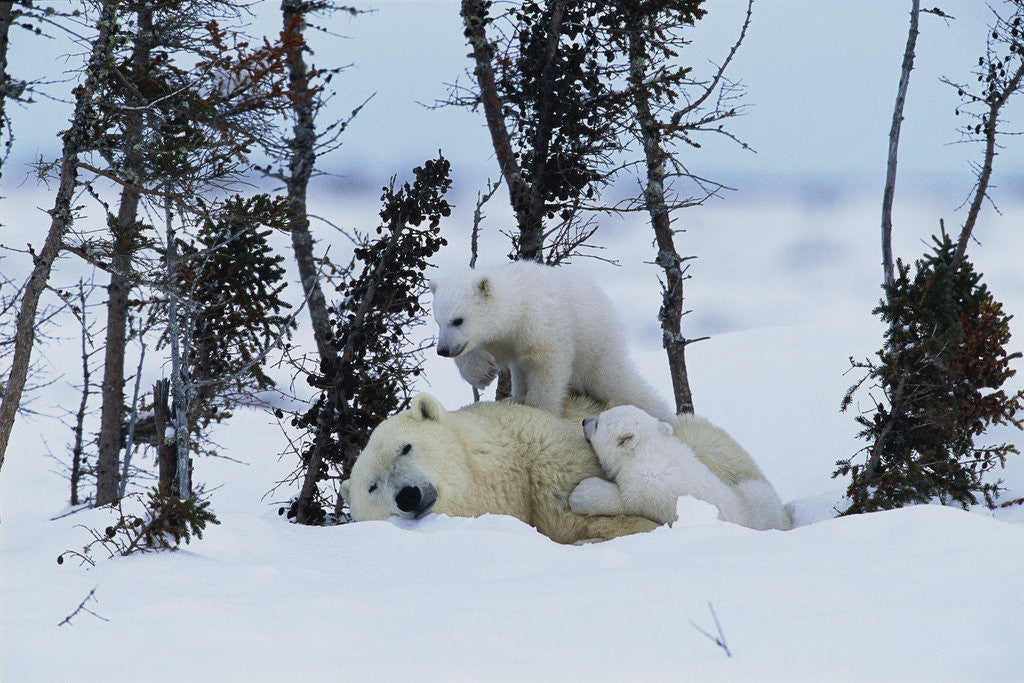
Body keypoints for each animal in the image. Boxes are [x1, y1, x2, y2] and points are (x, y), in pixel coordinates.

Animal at [429, 260, 675, 422]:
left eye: (458, 320)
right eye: (438, 321)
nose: (443, 350)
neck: (520, 305)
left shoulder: (541, 324)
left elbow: (547, 366)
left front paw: (541, 411)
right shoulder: (505, 338)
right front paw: (482, 373)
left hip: (596, 350)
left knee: (618, 385)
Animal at [569, 405, 791, 530]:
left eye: (598, 422)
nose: (584, 421)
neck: (648, 450)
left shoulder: (653, 488)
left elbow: (628, 501)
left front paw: (581, 495)